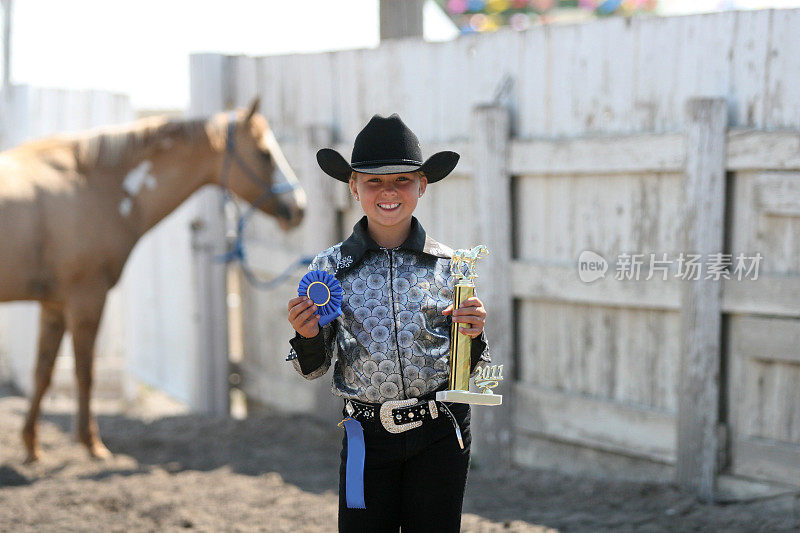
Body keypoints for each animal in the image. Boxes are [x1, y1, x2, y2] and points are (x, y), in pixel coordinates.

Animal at [0, 96, 306, 462]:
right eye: (264, 153)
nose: (299, 208)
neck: (93, 185)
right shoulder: (86, 299)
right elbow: (84, 373)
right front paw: (92, 444)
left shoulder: (54, 305)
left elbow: (42, 373)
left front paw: (32, 445)